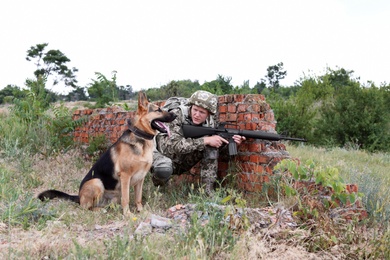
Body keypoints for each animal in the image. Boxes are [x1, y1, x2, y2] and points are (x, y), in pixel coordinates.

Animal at [37, 91, 175, 215]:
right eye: (158, 110)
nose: (174, 114)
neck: (140, 136)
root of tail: (79, 196)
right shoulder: (125, 177)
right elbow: (126, 199)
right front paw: (128, 215)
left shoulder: (140, 178)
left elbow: (138, 198)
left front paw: (140, 210)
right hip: (97, 182)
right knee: (86, 207)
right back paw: (99, 210)